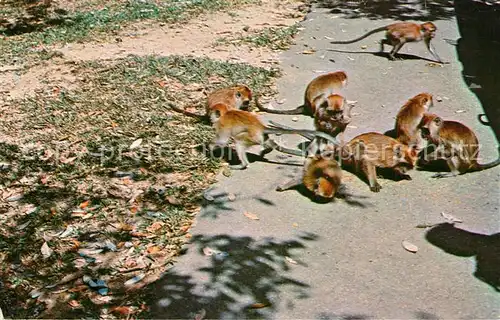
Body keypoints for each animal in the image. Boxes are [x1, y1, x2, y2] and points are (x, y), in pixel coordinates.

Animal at [209, 104, 342, 170]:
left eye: (212, 113)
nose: (209, 117)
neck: (225, 113)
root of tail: (261, 127)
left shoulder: (222, 124)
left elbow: (222, 141)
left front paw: (209, 147)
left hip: (251, 137)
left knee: (239, 142)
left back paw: (243, 165)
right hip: (260, 137)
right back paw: (267, 149)